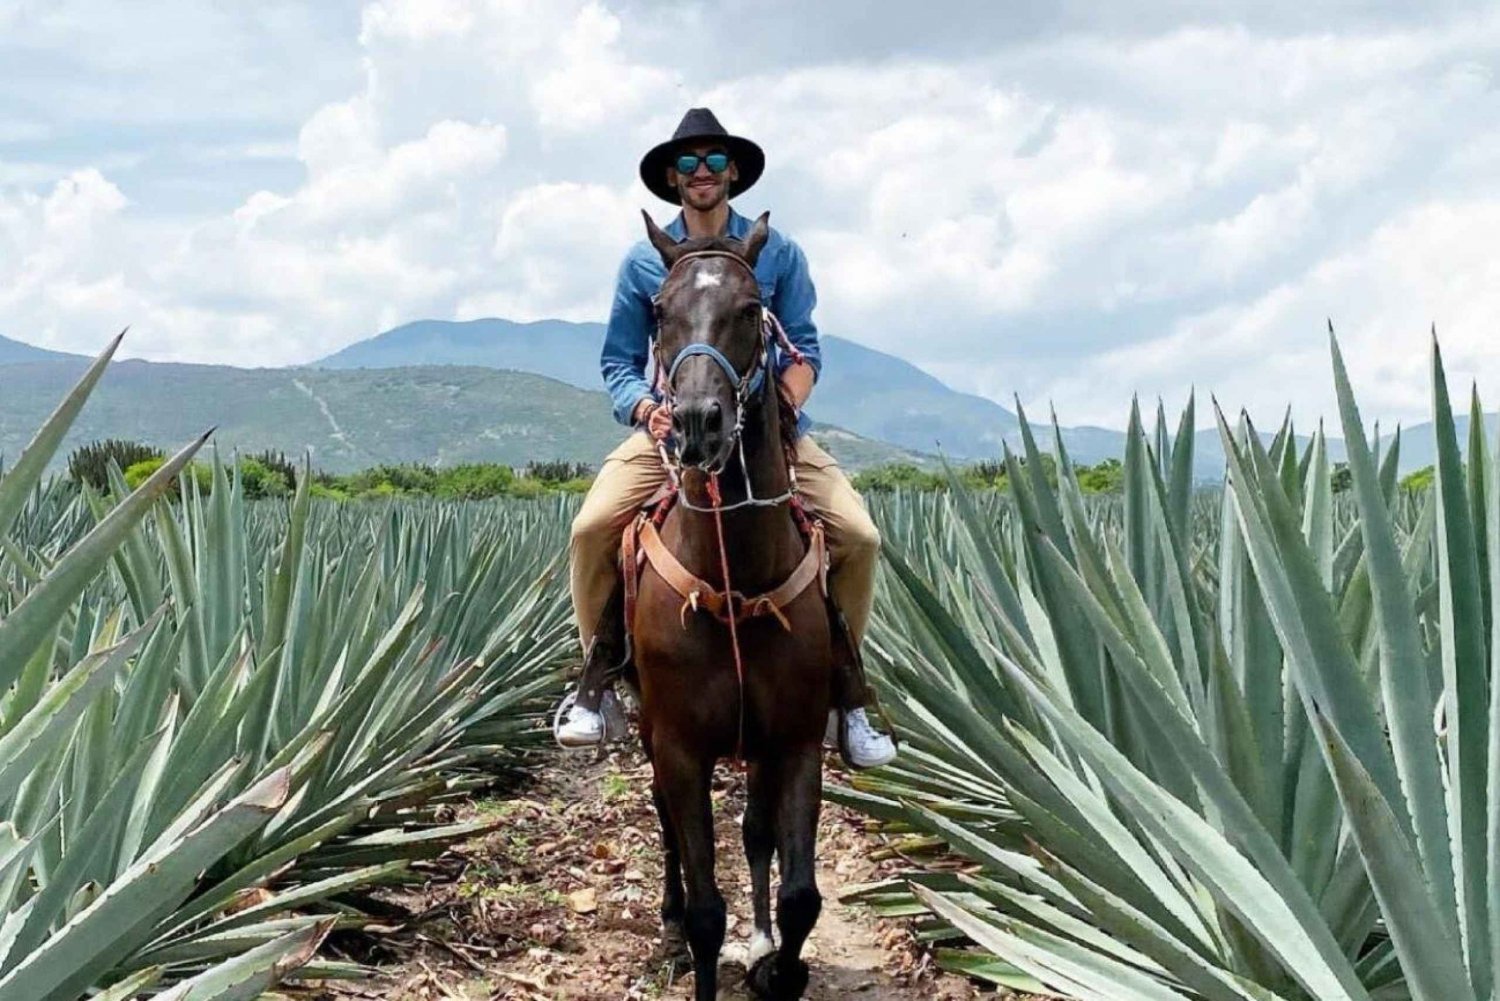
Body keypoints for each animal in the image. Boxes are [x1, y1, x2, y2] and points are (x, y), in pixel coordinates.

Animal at [630, 211, 840, 1001]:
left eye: (752, 310)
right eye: (659, 312)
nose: (697, 424)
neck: (736, 576)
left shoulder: (796, 738)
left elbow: (800, 892)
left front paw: (778, 965)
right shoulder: (680, 745)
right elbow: (704, 909)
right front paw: (695, 938)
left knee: (753, 831)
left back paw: (762, 940)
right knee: (663, 819)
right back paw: (665, 918)